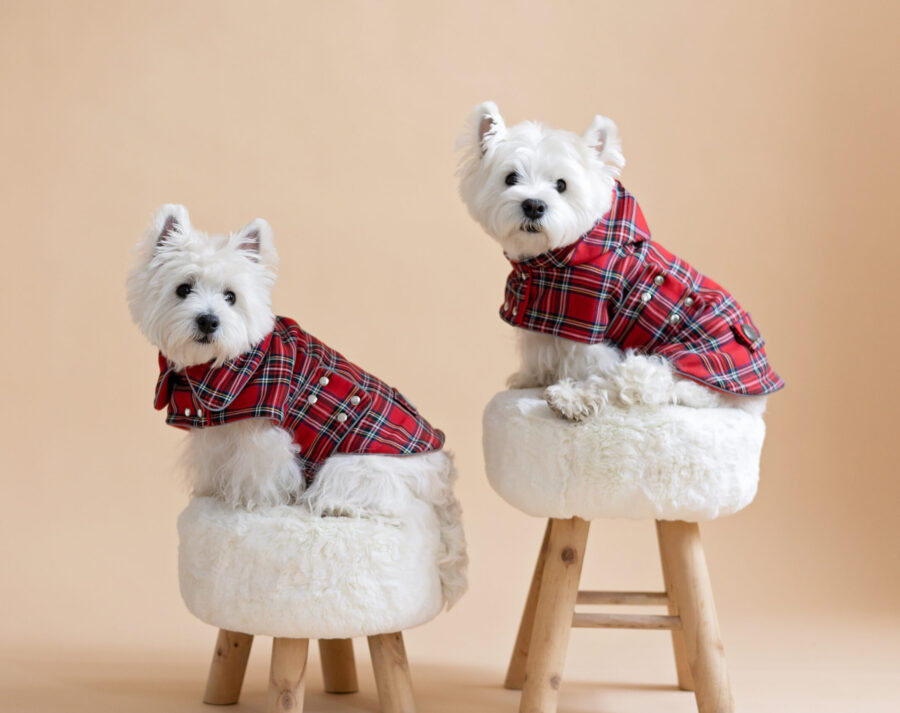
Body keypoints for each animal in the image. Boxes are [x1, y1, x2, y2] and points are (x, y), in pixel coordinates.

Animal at [130, 206, 468, 600]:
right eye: (183, 288)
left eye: (231, 296)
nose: (209, 321)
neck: (217, 365)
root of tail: (441, 471)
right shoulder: (215, 430)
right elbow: (212, 462)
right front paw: (211, 491)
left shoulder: (263, 431)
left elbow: (258, 473)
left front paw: (248, 504)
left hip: (351, 468)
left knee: (394, 507)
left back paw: (337, 507)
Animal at [458, 103, 780, 420]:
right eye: (510, 178)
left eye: (561, 185)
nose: (534, 205)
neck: (551, 261)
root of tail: (754, 401)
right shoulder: (543, 320)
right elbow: (539, 352)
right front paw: (527, 379)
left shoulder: (587, 326)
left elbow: (588, 366)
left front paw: (559, 386)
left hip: (678, 362)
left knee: (634, 384)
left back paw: (571, 399)